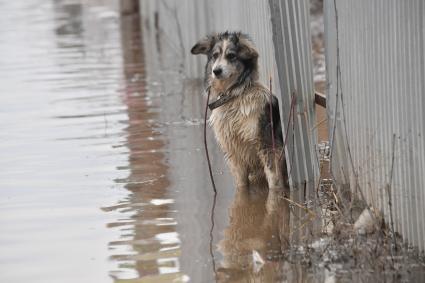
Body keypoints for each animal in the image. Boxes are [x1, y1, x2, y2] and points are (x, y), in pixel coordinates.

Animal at [191, 31, 288, 195]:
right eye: (215, 55)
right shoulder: (233, 153)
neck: (234, 97)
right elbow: (241, 185)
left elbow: (274, 180)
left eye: (231, 56)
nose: (216, 71)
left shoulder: (267, 145)